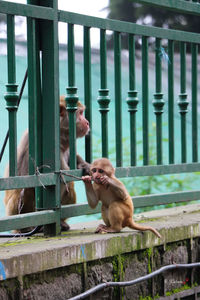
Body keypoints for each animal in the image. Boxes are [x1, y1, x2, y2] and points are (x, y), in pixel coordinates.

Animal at [3, 95, 90, 231]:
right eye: (80, 113)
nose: (87, 122)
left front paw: (86, 166)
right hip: (14, 211)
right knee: (27, 191)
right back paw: (30, 228)